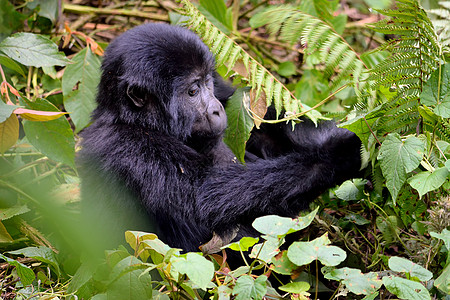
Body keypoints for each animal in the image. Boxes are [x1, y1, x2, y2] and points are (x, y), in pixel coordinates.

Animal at [79, 22, 362, 253]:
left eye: (207, 82)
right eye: (192, 92)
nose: (216, 109)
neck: (132, 118)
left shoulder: (224, 92)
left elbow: (264, 124)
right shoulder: (130, 148)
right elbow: (207, 198)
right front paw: (338, 154)